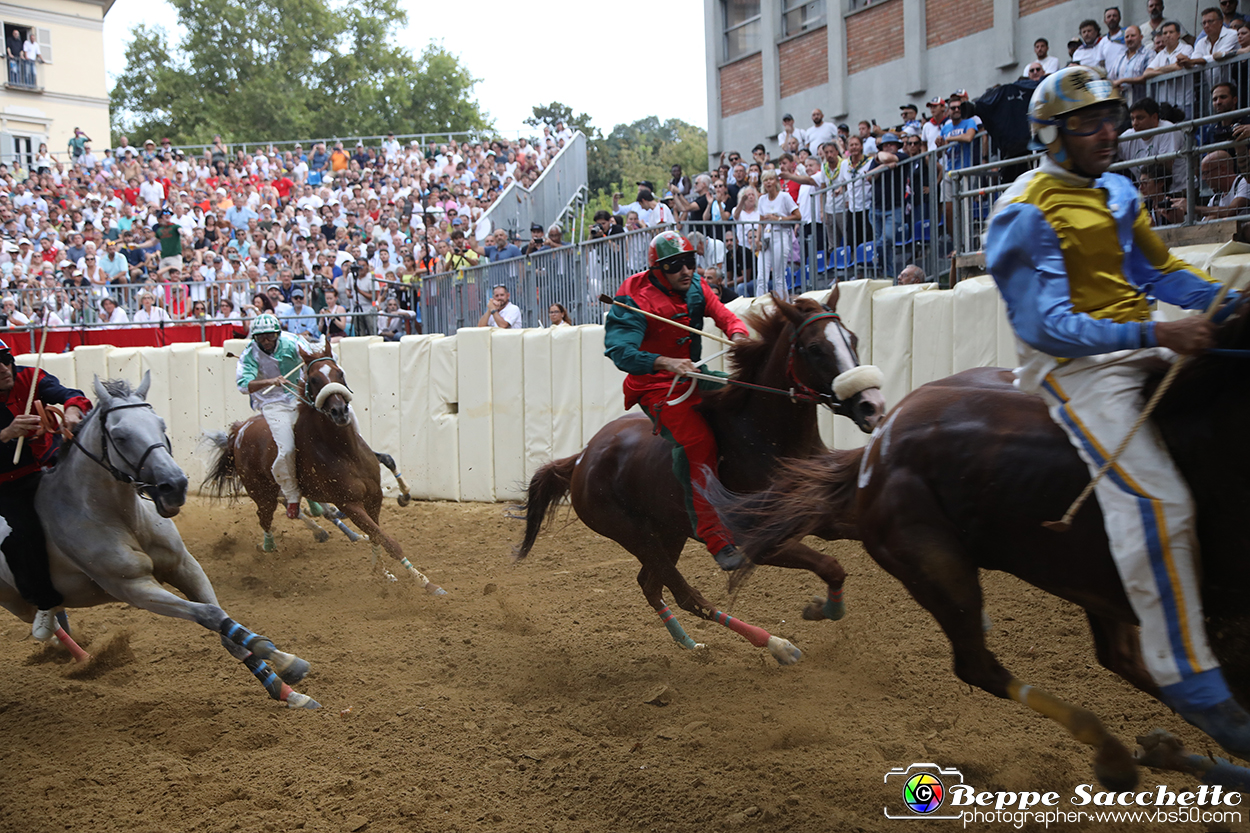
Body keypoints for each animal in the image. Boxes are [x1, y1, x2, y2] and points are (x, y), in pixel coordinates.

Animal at [0, 375, 320, 705]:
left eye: (161, 424)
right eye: (120, 436)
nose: (175, 485)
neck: (117, 516)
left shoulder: (184, 566)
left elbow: (225, 629)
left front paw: (285, 685)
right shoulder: (133, 588)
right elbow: (209, 614)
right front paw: (286, 660)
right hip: (12, 600)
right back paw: (77, 656)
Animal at [210, 340, 450, 597]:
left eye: (340, 373)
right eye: (314, 379)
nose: (340, 411)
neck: (343, 452)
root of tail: (239, 430)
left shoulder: (373, 496)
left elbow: (376, 535)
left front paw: (382, 572)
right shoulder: (349, 503)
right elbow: (388, 541)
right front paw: (427, 583)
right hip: (262, 493)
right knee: (265, 518)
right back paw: (271, 547)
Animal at [512, 288, 885, 665]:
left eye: (853, 338)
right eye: (815, 347)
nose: (872, 405)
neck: (763, 440)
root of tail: (582, 456)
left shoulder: (821, 514)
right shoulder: (762, 542)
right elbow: (831, 565)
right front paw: (824, 609)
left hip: (670, 530)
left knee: (651, 585)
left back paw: (690, 643)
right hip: (634, 535)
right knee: (685, 594)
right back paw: (777, 644)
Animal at [710, 306, 1250, 790]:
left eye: (854, 339)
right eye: (815, 348)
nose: (870, 405)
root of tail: (880, 446)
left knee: (1123, 661)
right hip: (938, 564)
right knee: (979, 664)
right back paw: (1119, 753)